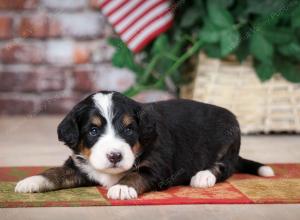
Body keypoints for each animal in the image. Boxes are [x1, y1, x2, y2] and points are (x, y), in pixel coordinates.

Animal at [15, 90, 276, 199]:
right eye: (93, 130)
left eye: (129, 129)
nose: (114, 156)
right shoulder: (79, 165)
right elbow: (56, 172)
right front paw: (31, 181)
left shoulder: (156, 167)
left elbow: (136, 174)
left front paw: (122, 188)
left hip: (228, 140)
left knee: (224, 167)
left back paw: (203, 176)